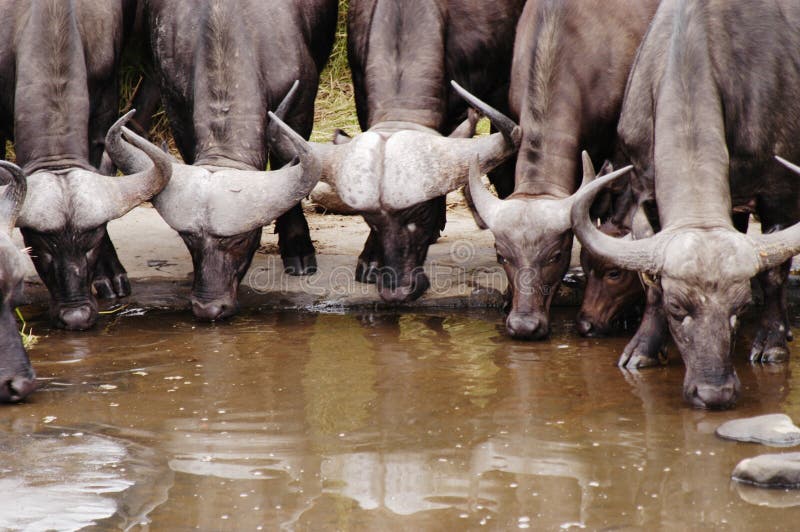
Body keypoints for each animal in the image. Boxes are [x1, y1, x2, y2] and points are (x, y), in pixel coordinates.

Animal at [572, 0, 800, 410]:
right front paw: (643, 349)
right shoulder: (644, 185)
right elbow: (650, 286)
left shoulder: (781, 191)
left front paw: (771, 344)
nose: (715, 393)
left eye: (740, 308)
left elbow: (773, 274)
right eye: (678, 308)